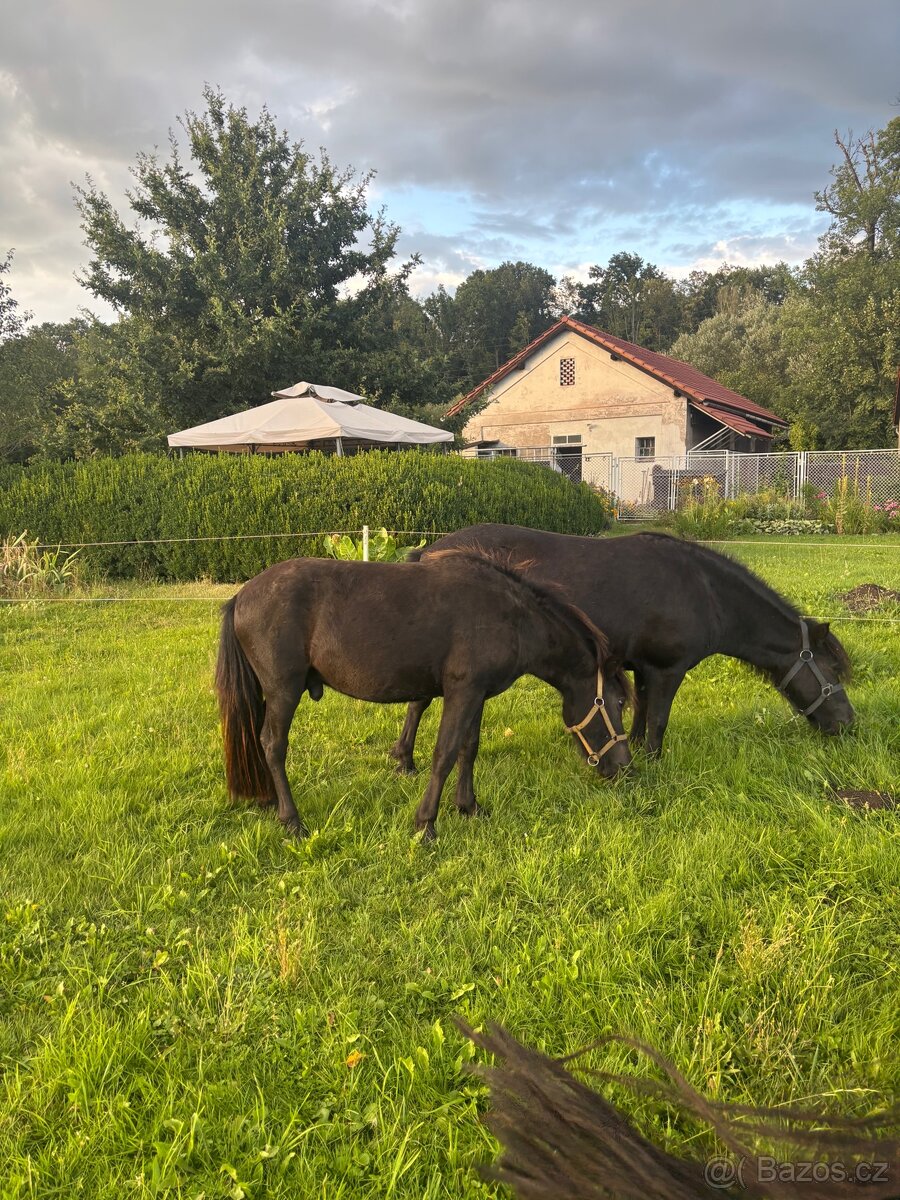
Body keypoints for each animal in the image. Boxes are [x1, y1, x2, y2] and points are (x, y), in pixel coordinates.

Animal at [215, 549, 632, 841]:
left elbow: (468, 749)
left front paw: (469, 806)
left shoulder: (476, 694)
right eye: (616, 702)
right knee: (272, 744)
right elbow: (444, 754)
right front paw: (426, 824)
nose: (624, 766)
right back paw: (292, 820)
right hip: (284, 691)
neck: (511, 617)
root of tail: (242, 595)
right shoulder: (462, 692)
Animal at [390, 525, 854, 772]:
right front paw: (653, 763)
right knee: (418, 703)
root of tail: (427, 552)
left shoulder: (642, 669)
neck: (705, 592)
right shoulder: (668, 669)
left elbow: (641, 715)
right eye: (832, 672)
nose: (849, 723)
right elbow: (659, 722)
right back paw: (405, 760)